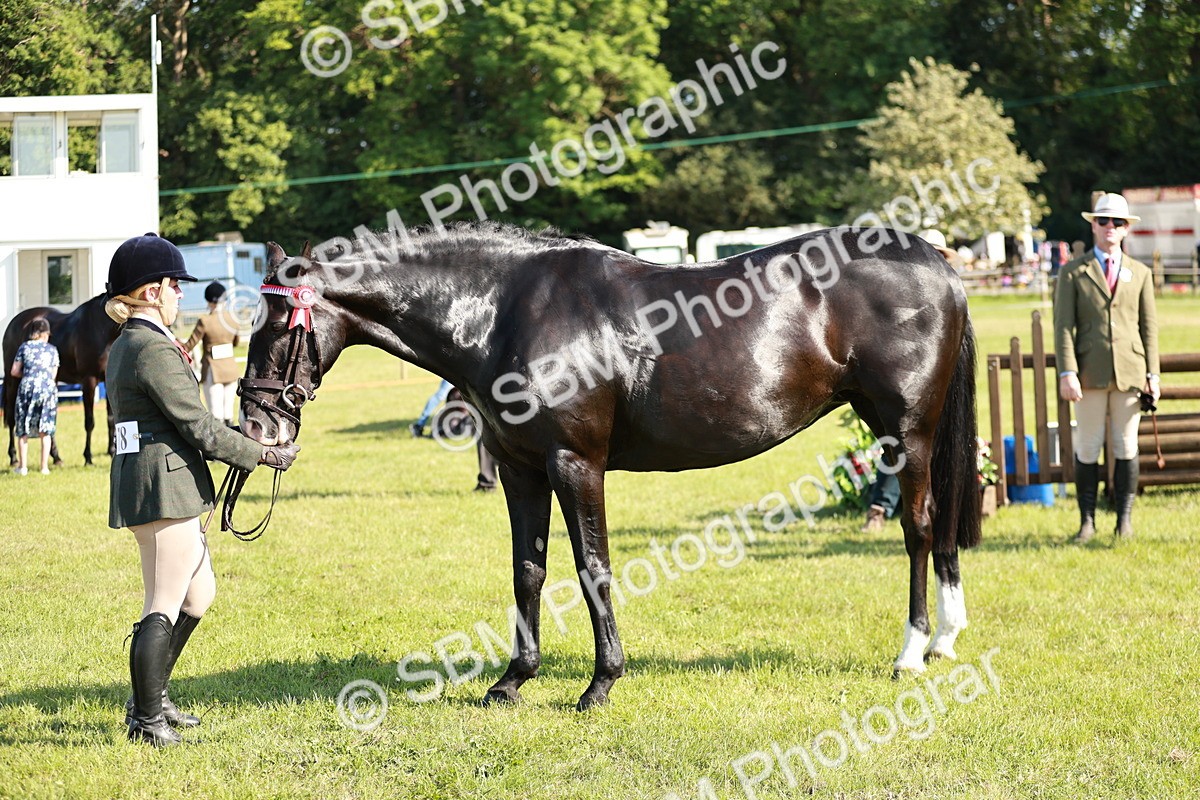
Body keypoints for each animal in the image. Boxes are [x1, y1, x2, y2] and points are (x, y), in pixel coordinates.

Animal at [3, 293, 120, 466]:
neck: (102, 330)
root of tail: (13, 323)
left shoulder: (108, 381)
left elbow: (110, 419)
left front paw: (112, 452)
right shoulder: (89, 381)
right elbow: (89, 422)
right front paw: (88, 457)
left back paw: (56, 457)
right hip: (13, 380)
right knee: (12, 419)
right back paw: (13, 458)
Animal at [239, 222, 981, 710]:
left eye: (274, 327)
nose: (255, 422)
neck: (506, 310)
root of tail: (936, 261)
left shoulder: (576, 464)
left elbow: (592, 567)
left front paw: (600, 683)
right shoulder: (521, 469)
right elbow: (528, 569)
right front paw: (513, 680)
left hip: (906, 432)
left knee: (919, 526)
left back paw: (912, 652)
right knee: (941, 522)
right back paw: (944, 640)